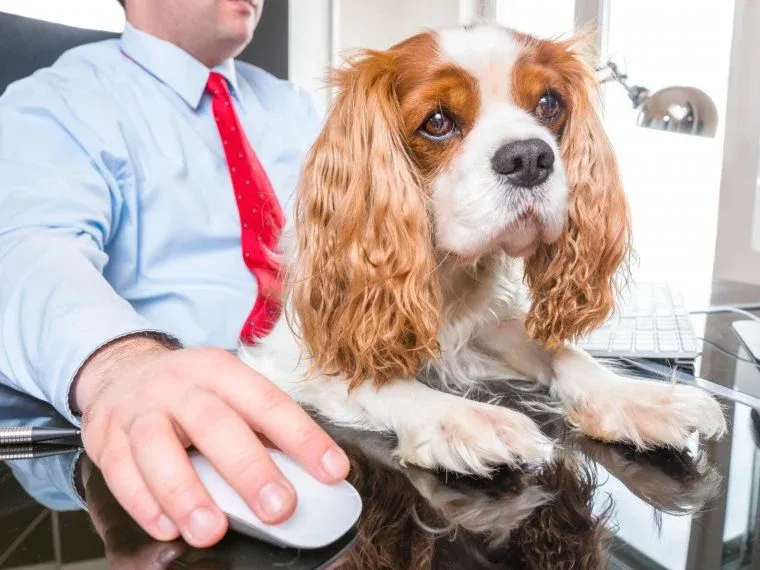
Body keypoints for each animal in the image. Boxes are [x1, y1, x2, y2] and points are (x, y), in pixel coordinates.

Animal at [240, 23, 728, 474]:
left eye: (549, 104)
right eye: (437, 122)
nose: (529, 157)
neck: (445, 272)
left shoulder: (484, 330)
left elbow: (564, 353)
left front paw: (634, 397)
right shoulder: (293, 351)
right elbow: (369, 375)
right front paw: (462, 416)